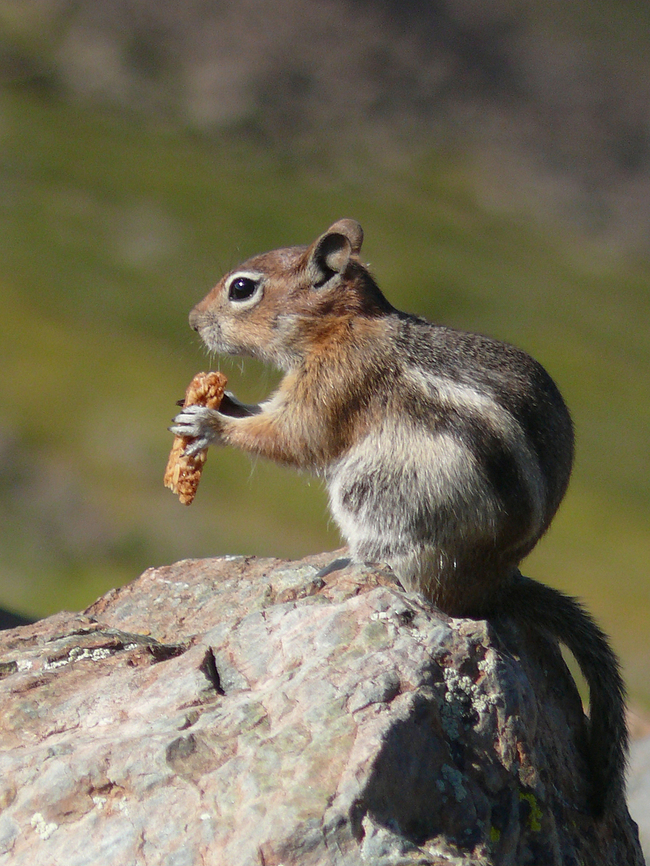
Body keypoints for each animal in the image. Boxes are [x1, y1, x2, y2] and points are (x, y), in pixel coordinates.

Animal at [171, 218, 627, 816]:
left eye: (242, 288)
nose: (192, 321)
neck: (340, 328)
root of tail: (498, 584)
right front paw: (219, 402)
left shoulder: (335, 387)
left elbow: (293, 437)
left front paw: (209, 423)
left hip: (376, 493)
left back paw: (359, 566)